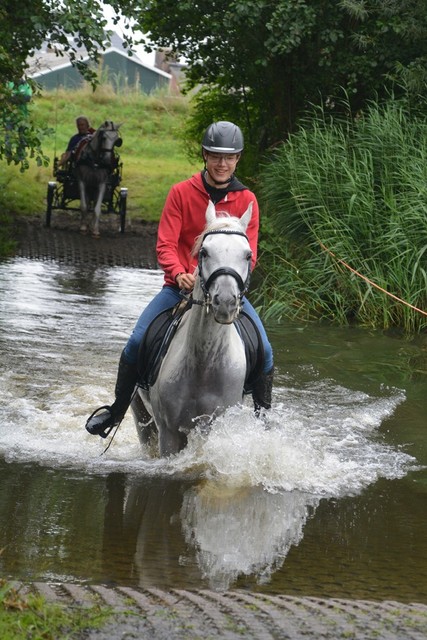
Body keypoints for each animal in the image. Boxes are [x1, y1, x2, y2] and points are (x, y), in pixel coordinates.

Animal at [133, 200, 254, 456]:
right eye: (204, 252)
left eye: (248, 255)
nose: (225, 301)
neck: (204, 365)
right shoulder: (168, 433)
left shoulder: (212, 429)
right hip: (141, 415)